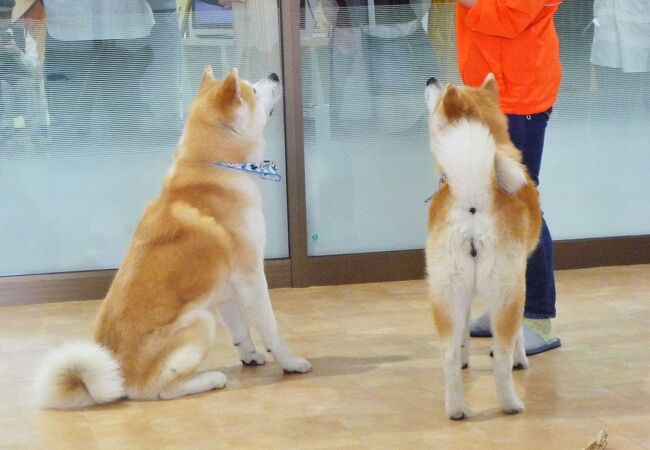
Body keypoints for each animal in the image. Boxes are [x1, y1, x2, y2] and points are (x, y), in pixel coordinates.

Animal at [33, 66, 312, 408]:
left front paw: (249, 356)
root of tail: (119, 377)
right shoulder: (250, 277)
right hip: (201, 322)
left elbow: (241, 329)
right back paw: (210, 379)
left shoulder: (226, 287)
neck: (215, 168)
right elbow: (270, 328)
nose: (274, 74)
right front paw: (290, 362)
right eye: (253, 90)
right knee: (163, 390)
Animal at [422, 74, 540, 418]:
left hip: (445, 288)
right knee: (501, 355)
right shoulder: (520, 277)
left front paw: (465, 360)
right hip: (505, 290)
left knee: (447, 354)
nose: (430, 78)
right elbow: (517, 337)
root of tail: (473, 200)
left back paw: (456, 409)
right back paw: (511, 403)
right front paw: (521, 360)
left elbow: (462, 335)